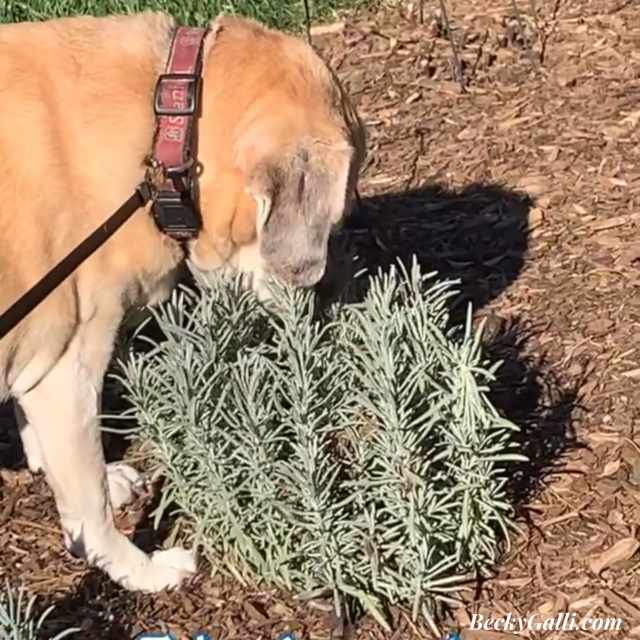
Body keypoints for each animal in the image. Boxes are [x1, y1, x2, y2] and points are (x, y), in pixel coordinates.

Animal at [0, 10, 364, 592]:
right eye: (338, 218)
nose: (322, 307)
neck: (161, 120)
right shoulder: (69, 370)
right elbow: (90, 506)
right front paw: (140, 570)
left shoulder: (43, 365)